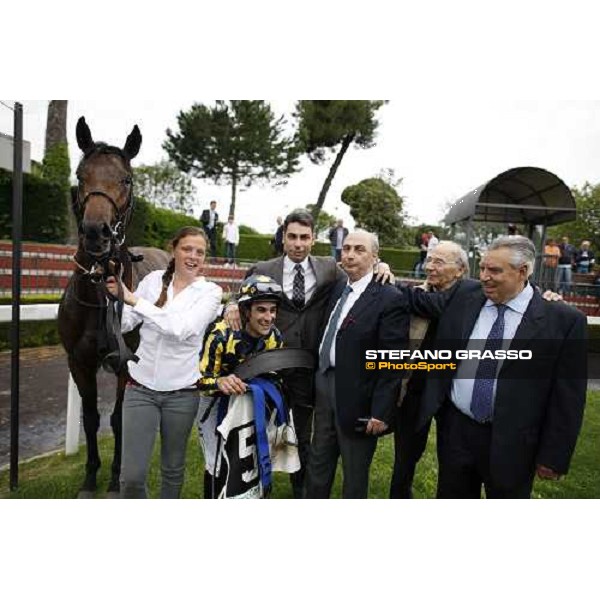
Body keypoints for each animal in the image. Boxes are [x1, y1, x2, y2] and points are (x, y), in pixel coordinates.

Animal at [58, 116, 169, 496]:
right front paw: (91, 477)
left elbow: (120, 419)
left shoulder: (124, 363)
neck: (99, 298)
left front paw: (116, 477)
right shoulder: (78, 362)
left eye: (126, 179)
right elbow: (91, 418)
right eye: (80, 174)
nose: (96, 232)